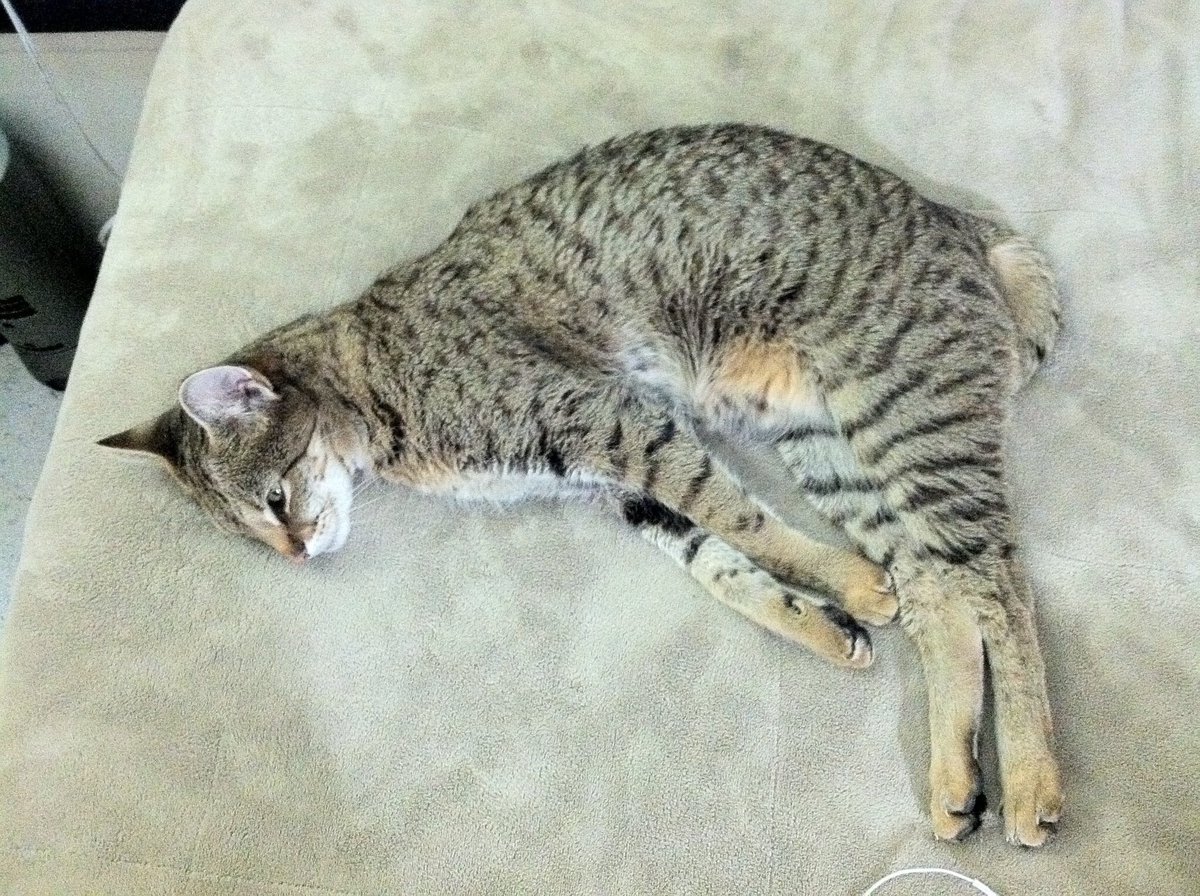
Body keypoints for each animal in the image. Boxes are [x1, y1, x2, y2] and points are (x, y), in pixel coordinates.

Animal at [101, 123, 1063, 847]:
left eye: (273, 501)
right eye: (252, 535)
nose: (297, 555)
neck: (369, 380)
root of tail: (957, 217)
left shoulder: (610, 419)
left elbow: (736, 515)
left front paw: (850, 586)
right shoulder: (615, 483)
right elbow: (723, 565)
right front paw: (823, 622)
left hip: (908, 423)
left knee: (1000, 587)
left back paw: (1032, 781)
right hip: (837, 445)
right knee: (940, 592)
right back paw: (954, 779)